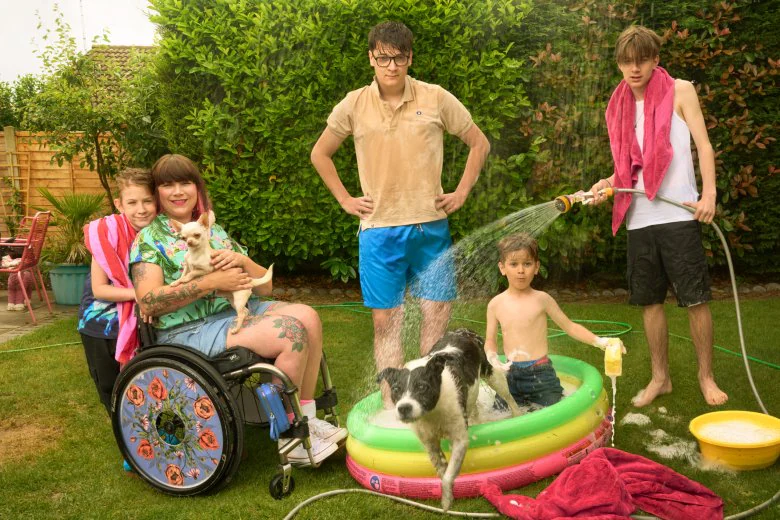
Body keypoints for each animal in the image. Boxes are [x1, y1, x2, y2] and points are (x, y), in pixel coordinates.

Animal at [374, 330, 520, 512]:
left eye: (422, 387)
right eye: (395, 389)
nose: (404, 408)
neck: (432, 412)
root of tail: (464, 331)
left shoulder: (459, 439)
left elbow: (449, 474)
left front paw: (447, 500)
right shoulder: (429, 443)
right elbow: (441, 469)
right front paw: (447, 493)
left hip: (493, 375)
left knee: (509, 397)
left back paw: (518, 414)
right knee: (475, 408)